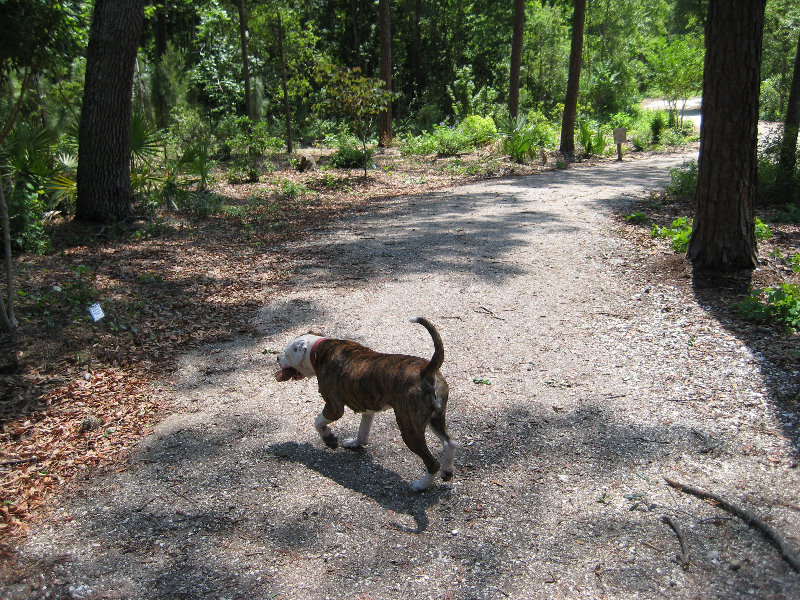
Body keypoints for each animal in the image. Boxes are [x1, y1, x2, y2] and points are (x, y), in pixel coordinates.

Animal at [276, 316, 454, 490]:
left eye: (286, 353)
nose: (277, 358)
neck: (318, 348)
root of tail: (427, 370)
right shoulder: (368, 408)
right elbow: (363, 430)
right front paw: (355, 443)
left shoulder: (333, 408)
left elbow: (317, 422)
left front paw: (329, 438)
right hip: (435, 418)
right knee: (450, 442)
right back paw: (447, 471)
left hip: (409, 426)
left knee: (432, 462)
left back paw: (421, 485)